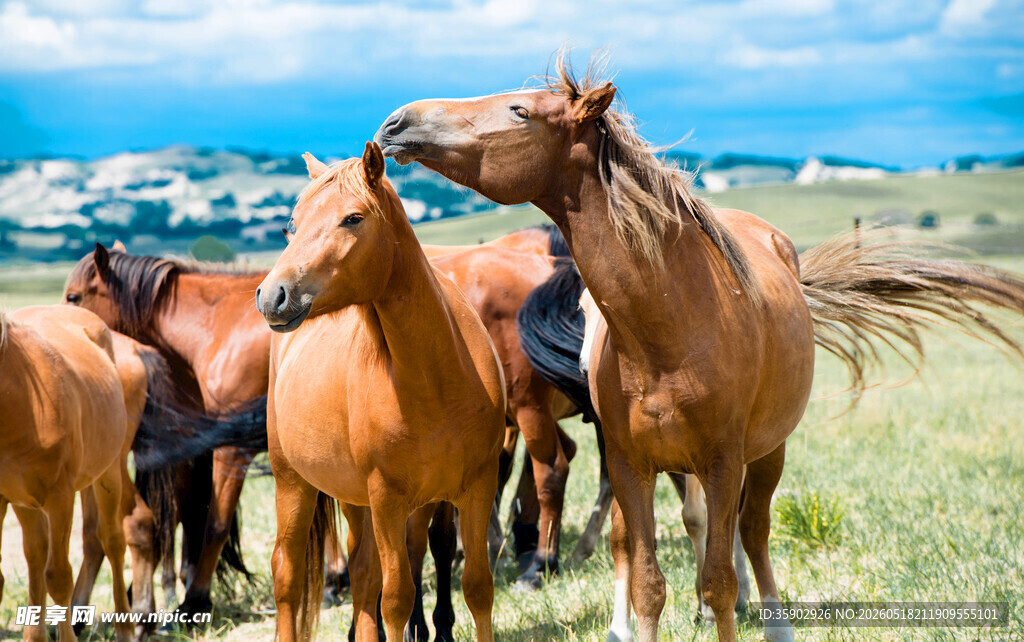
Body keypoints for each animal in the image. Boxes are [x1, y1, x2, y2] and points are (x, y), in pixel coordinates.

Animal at [0, 305, 133, 642]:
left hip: (108, 474)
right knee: (36, 554)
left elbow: (59, 578)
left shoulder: (60, 498)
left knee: (113, 542)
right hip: (24, 503)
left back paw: (126, 629)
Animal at [254, 143, 505, 642]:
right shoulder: (388, 501)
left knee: (363, 576)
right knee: (288, 575)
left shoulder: (476, 489)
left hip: (355, 501)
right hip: (292, 482)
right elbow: (397, 600)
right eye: (293, 223)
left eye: (352, 218)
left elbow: (477, 587)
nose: (272, 296)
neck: (435, 381)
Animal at [373, 51, 1024, 641]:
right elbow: (647, 581)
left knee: (752, 533)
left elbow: (718, 577)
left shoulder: (722, 460)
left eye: (520, 110)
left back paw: (773, 621)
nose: (396, 121)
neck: (669, 327)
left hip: (767, 451)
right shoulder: (632, 464)